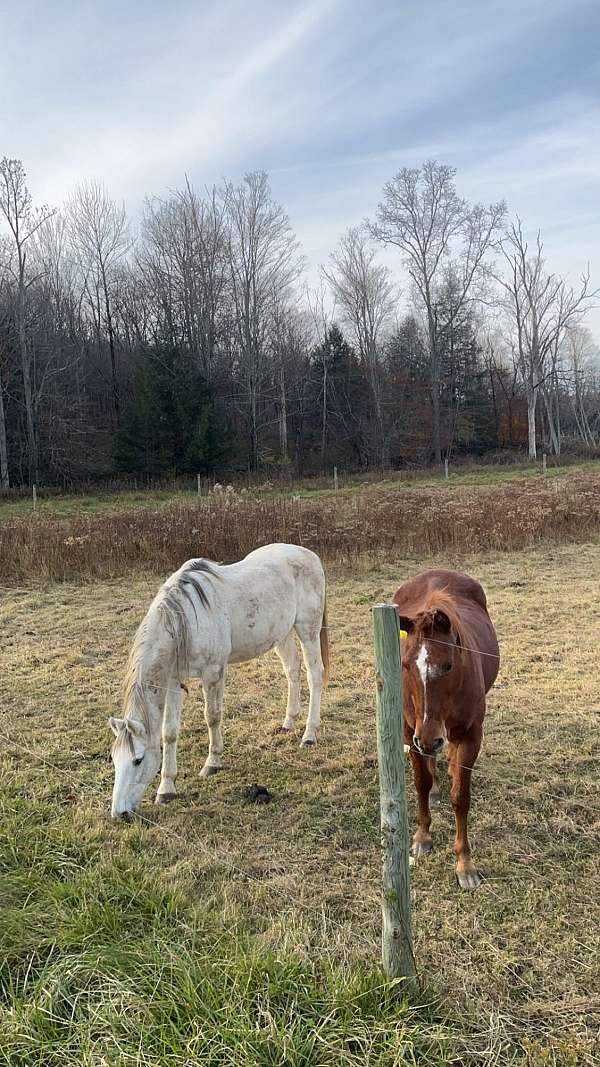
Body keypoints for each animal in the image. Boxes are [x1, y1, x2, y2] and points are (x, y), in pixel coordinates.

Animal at [109, 546, 328, 819]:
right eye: (114, 759)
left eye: (137, 760)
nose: (119, 813)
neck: (184, 620)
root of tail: (309, 555)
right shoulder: (173, 681)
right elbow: (169, 732)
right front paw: (166, 788)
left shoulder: (213, 673)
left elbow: (212, 717)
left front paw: (212, 763)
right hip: (282, 634)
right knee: (292, 671)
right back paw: (288, 723)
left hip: (308, 629)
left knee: (314, 675)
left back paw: (309, 734)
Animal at [392, 571, 495, 887]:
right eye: (405, 665)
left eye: (448, 666)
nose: (429, 739)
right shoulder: (410, 733)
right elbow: (421, 784)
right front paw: (422, 836)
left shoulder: (471, 736)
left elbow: (461, 797)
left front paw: (465, 863)